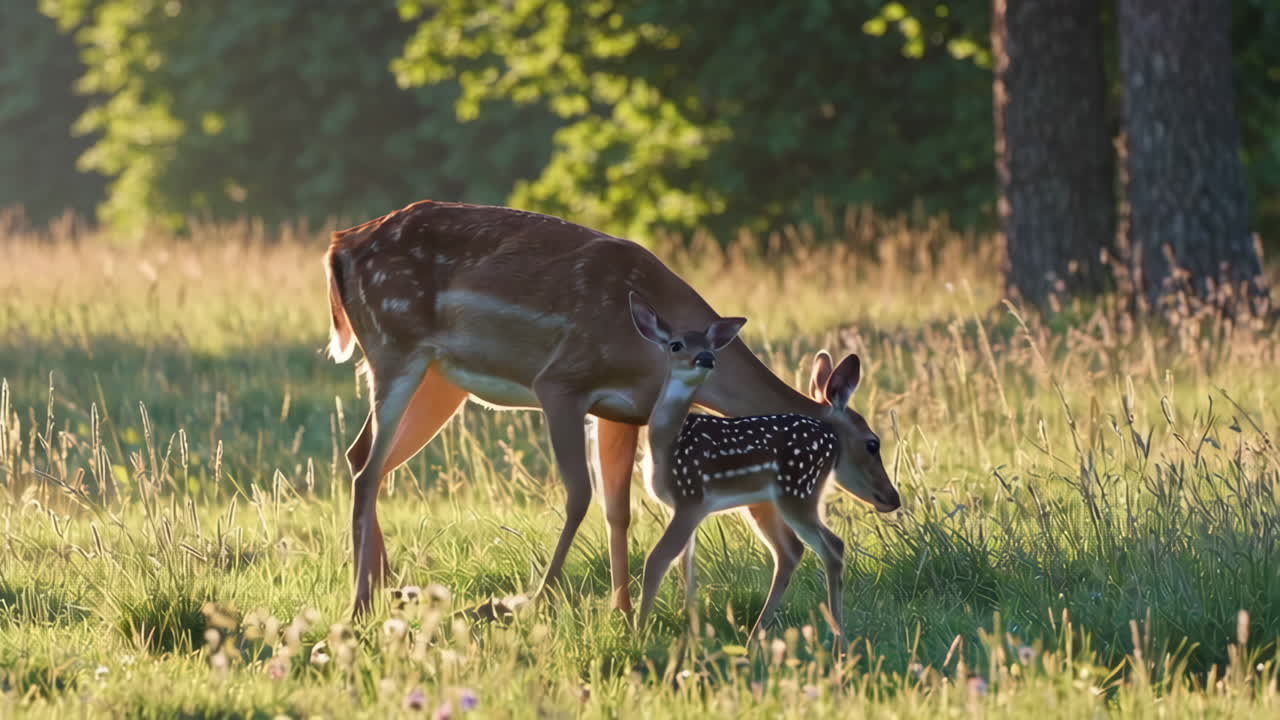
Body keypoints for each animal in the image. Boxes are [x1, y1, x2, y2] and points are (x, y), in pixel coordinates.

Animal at [628, 293, 863, 640]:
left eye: (709, 346)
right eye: (675, 344)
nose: (706, 359)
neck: (667, 444)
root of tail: (833, 440)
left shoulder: (691, 496)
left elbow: (657, 559)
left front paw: (638, 631)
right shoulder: (682, 507)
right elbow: (686, 565)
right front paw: (690, 625)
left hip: (797, 491)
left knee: (831, 546)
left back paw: (837, 639)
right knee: (805, 550)